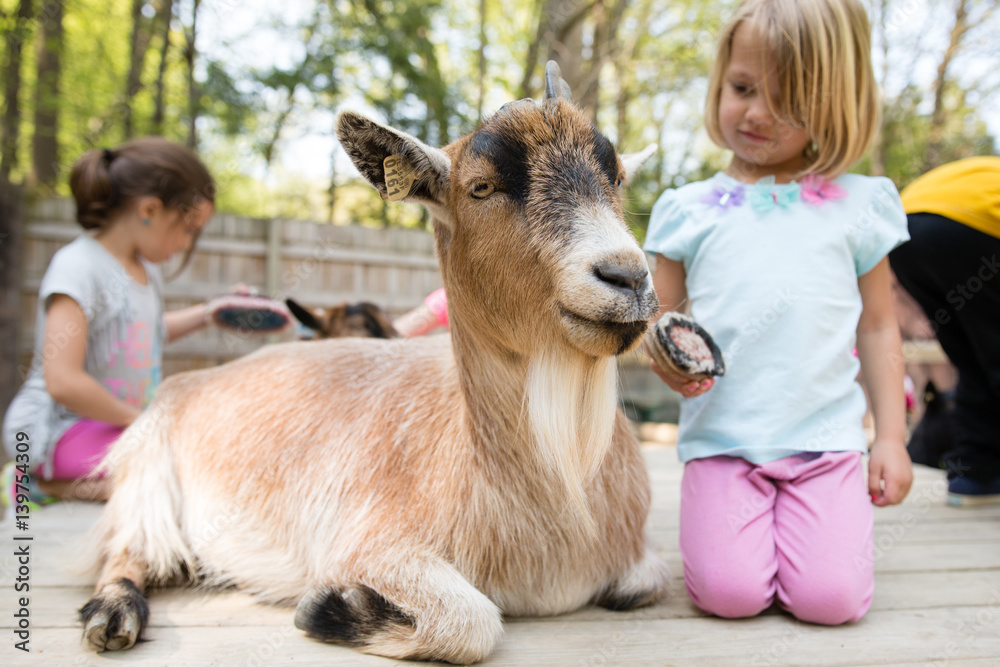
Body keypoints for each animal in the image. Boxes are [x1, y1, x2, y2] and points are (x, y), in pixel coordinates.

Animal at [79, 62, 669, 664]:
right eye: (481, 186)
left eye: (618, 176)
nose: (627, 276)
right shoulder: (369, 541)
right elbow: (472, 619)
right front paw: (328, 606)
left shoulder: (636, 559)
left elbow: (644, 583)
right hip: (147, 472)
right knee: (129, 546)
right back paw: (113, 612)